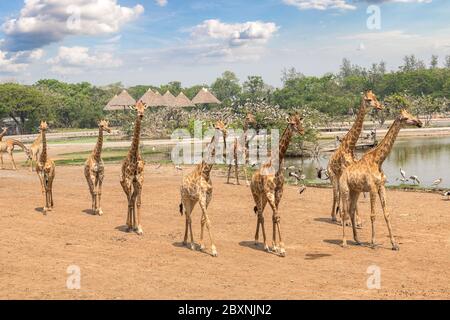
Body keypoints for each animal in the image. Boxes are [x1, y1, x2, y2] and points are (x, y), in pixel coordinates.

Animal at [179, 120, 229, 258]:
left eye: (224, 126)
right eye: (217, 127)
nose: (225, 132)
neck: (206, 172)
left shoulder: (208, 197)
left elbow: (202, 220)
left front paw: (201, 245)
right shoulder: (202, 197)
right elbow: (208, 221)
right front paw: (214, 250)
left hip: (193, 201)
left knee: (187, 216)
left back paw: (185, 241)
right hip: (185, 199)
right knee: (189, 218)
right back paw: (191, 244)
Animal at [250, 114, 306, 256]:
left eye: (300, 121)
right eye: (292, 123)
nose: (302, 131)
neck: (276, 163)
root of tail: (253, 177)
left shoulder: (278, 191)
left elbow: (274, 217)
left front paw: (276, 246)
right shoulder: (270, 192)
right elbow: (276, 216)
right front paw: (281, 248)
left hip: (263, 197)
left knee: (260, 214)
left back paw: (257, 240)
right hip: (256, 194)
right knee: (261, 215)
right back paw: (264, 245)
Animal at [326, 90, 384, 225]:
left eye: (376, 97)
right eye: (368, 100)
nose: (380, 106)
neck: (350, 147)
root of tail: (328, 162)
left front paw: (357, 221)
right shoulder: (344, 171)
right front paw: (348, 220)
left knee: (339, 194)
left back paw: (340, 216)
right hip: (332, 175)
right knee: (336, 194)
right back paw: (335, 217)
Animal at [342, 109, 422, 250]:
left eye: (411, 114)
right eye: (405, 118)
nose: (419, 122)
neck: (378, 160)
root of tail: (342, 173)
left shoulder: (381, 187)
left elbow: (386, 214)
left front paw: (394, 244)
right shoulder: (372, 188)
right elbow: (373, 215)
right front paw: (373, 243)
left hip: (355, 191)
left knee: (351, 210)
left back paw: (357, 240)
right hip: (345, 189)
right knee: (344, 212)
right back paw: (344, 242)